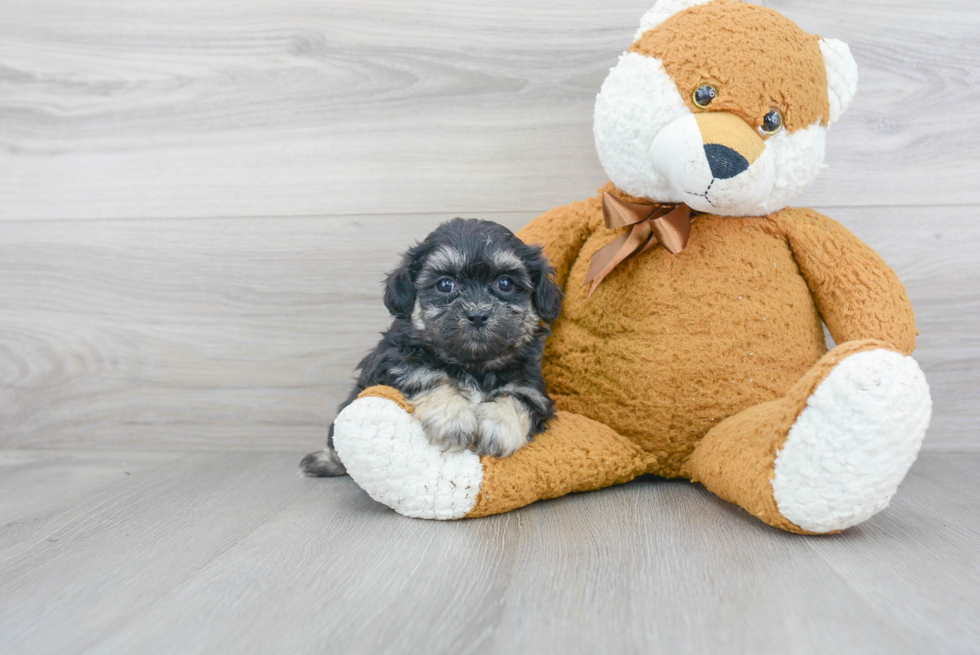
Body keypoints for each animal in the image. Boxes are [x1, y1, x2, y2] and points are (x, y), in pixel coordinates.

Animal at [298, 218, 560, 480]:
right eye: (445, 284)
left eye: (505, 283)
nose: (477, 315)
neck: (473, 365)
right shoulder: (395, 363)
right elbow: (428, 375)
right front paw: (453, 421)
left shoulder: (532, 385)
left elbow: (520, 398)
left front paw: (498, 427)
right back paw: (324, 461)